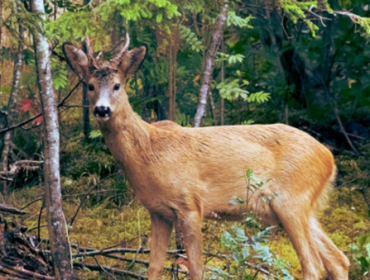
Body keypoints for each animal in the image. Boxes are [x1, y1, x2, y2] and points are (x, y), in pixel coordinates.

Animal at [63, 35, 350, 280]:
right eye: (89, 86)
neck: (149, 154)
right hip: (302, 207)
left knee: (313, 264)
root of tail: (328, 158)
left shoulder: (190, 204)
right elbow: (154, 267)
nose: (102, 110)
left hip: (290, 200)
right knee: (338, 260)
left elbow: (197, 269)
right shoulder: (158, 212)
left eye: (117, 85)